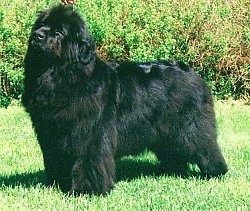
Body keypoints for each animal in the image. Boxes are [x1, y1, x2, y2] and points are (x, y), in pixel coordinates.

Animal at [22, 4, 228, 195]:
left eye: (58, 32)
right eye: (41, 25)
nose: (37, 35)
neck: (62, 77)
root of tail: (192, 71)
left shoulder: (90, 134)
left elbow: (88, 160)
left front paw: (86, 190)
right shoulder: (51, 134)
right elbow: (56, 159)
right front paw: (57, 185)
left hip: (190, 126)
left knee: (205, 146)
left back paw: (216, 172)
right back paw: (173, 170)